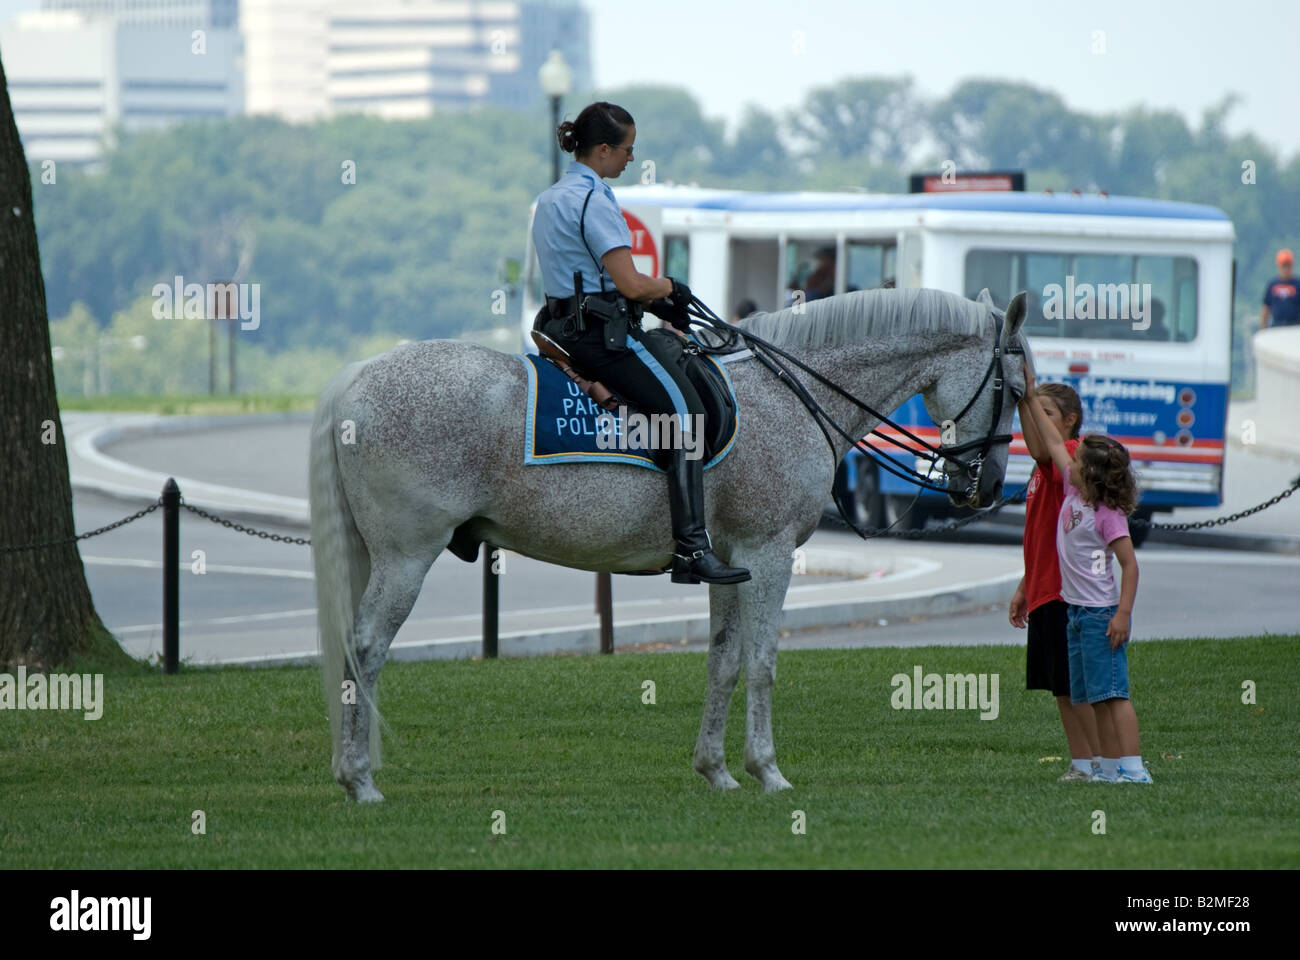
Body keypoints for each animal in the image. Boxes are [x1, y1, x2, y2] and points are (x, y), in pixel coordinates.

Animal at [309, 287, 1029, 796]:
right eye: (1015, 388)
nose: (992, 484)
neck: (789, 395)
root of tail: (356, 377)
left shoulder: (731, 563)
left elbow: (723, 661)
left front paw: (717, 770)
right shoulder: (768, 556)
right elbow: (762, 661)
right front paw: (768, 770)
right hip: (406, 557)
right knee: (366, 647)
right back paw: (359, 780)